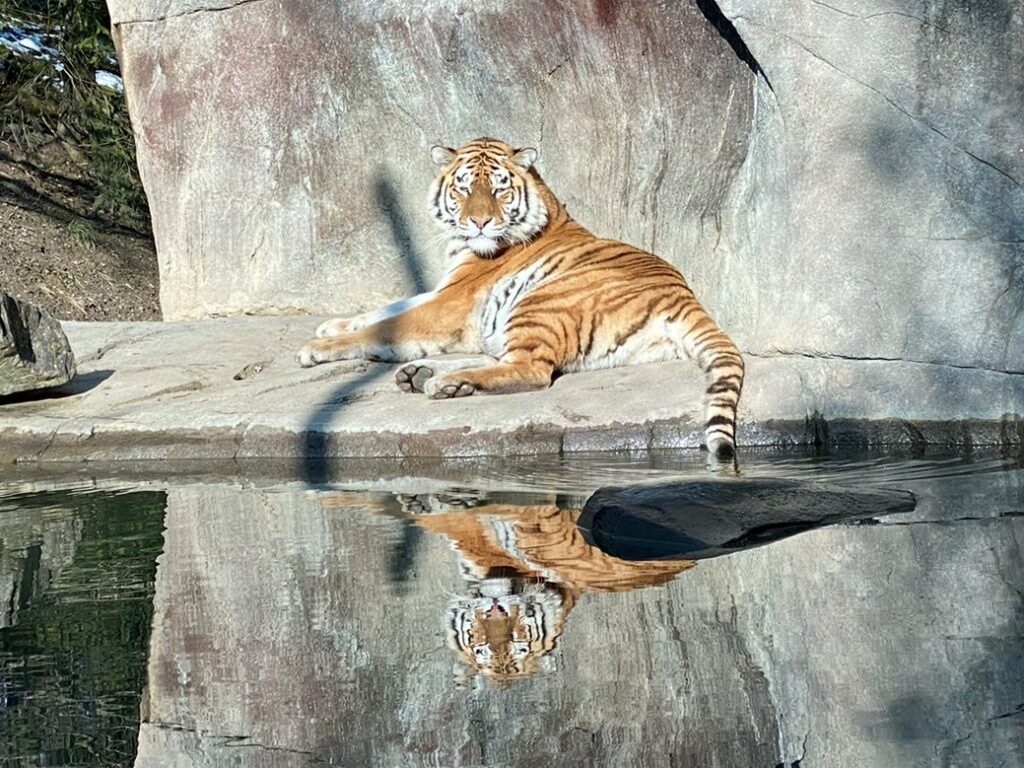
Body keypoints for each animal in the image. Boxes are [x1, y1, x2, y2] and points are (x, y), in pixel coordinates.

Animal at [298, 137, 745, 458]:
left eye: (499, 188)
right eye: (463, 189)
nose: (479, 222)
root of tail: (687, 299)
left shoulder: (451, 302)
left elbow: (388, 325)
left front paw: (316, 348)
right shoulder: (444, 291)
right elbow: (387, 309)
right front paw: (331, 326)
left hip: (539, 301)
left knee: (531, 370)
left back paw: (443, 382)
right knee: (503, 359)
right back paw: (424, 374)